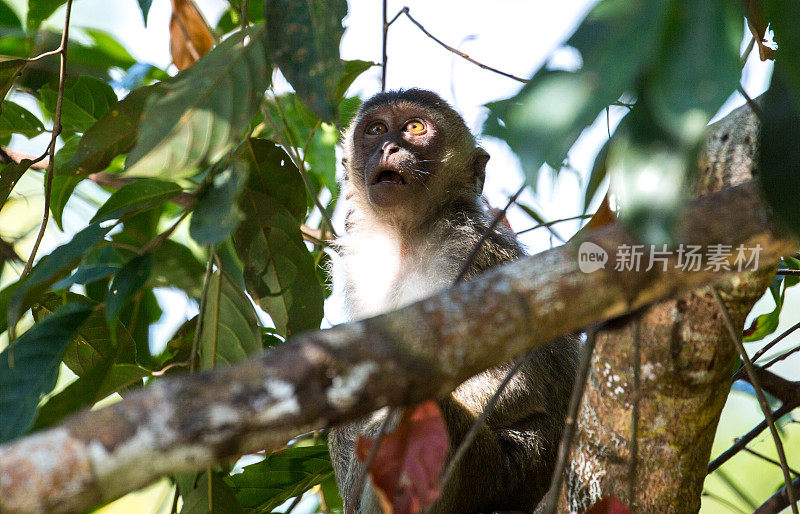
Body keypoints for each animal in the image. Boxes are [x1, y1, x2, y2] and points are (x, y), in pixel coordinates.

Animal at [328, 90, 580, 510]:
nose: (388, 146)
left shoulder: (469, 255)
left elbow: (522, 381)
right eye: (376, 129)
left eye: (414, 127)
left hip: (494, 479)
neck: (409, 239)